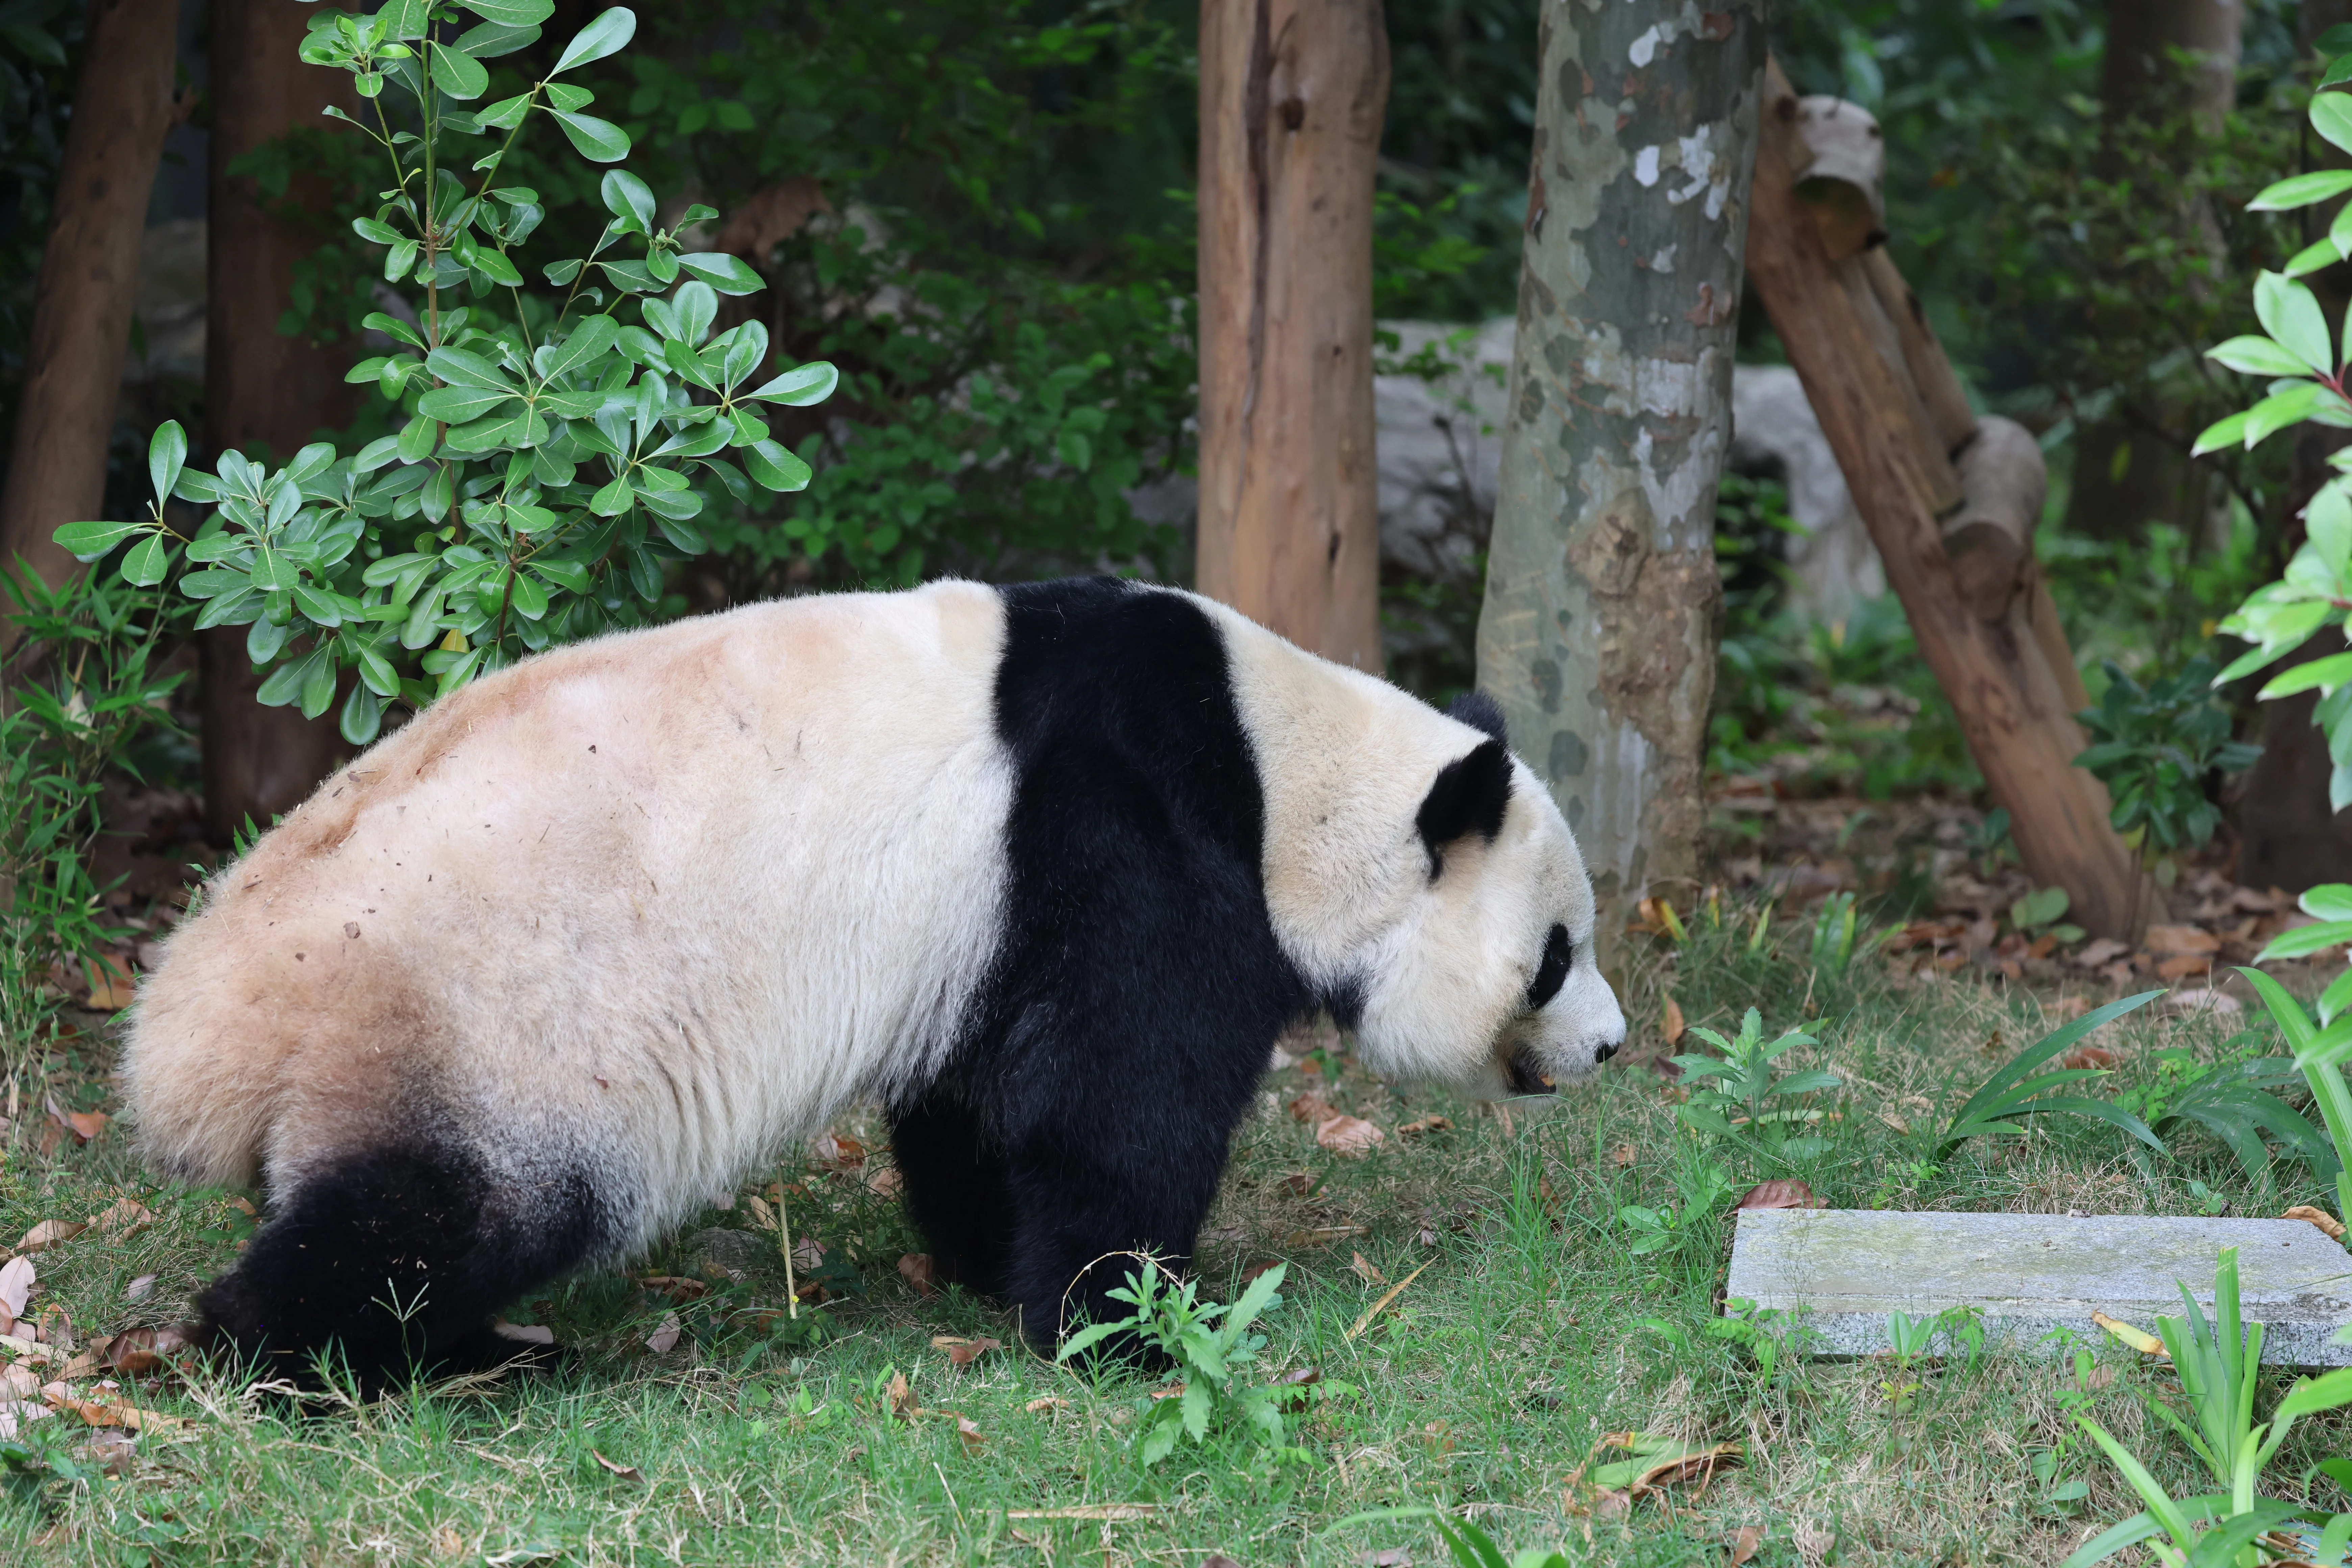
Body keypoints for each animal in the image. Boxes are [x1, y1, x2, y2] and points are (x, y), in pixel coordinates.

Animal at [124, 575, 1626, 1387]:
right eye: (1557, 952)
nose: (1611, 1047)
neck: (1282, 772)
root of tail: (198, 1032)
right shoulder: (1130, 833)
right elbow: (1118, 1107)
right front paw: (1127, 1323)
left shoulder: (996, 917)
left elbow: (978, 1102)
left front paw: (987, 1262)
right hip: (480, 1032)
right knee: (429, 1219)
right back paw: (351, 1359)